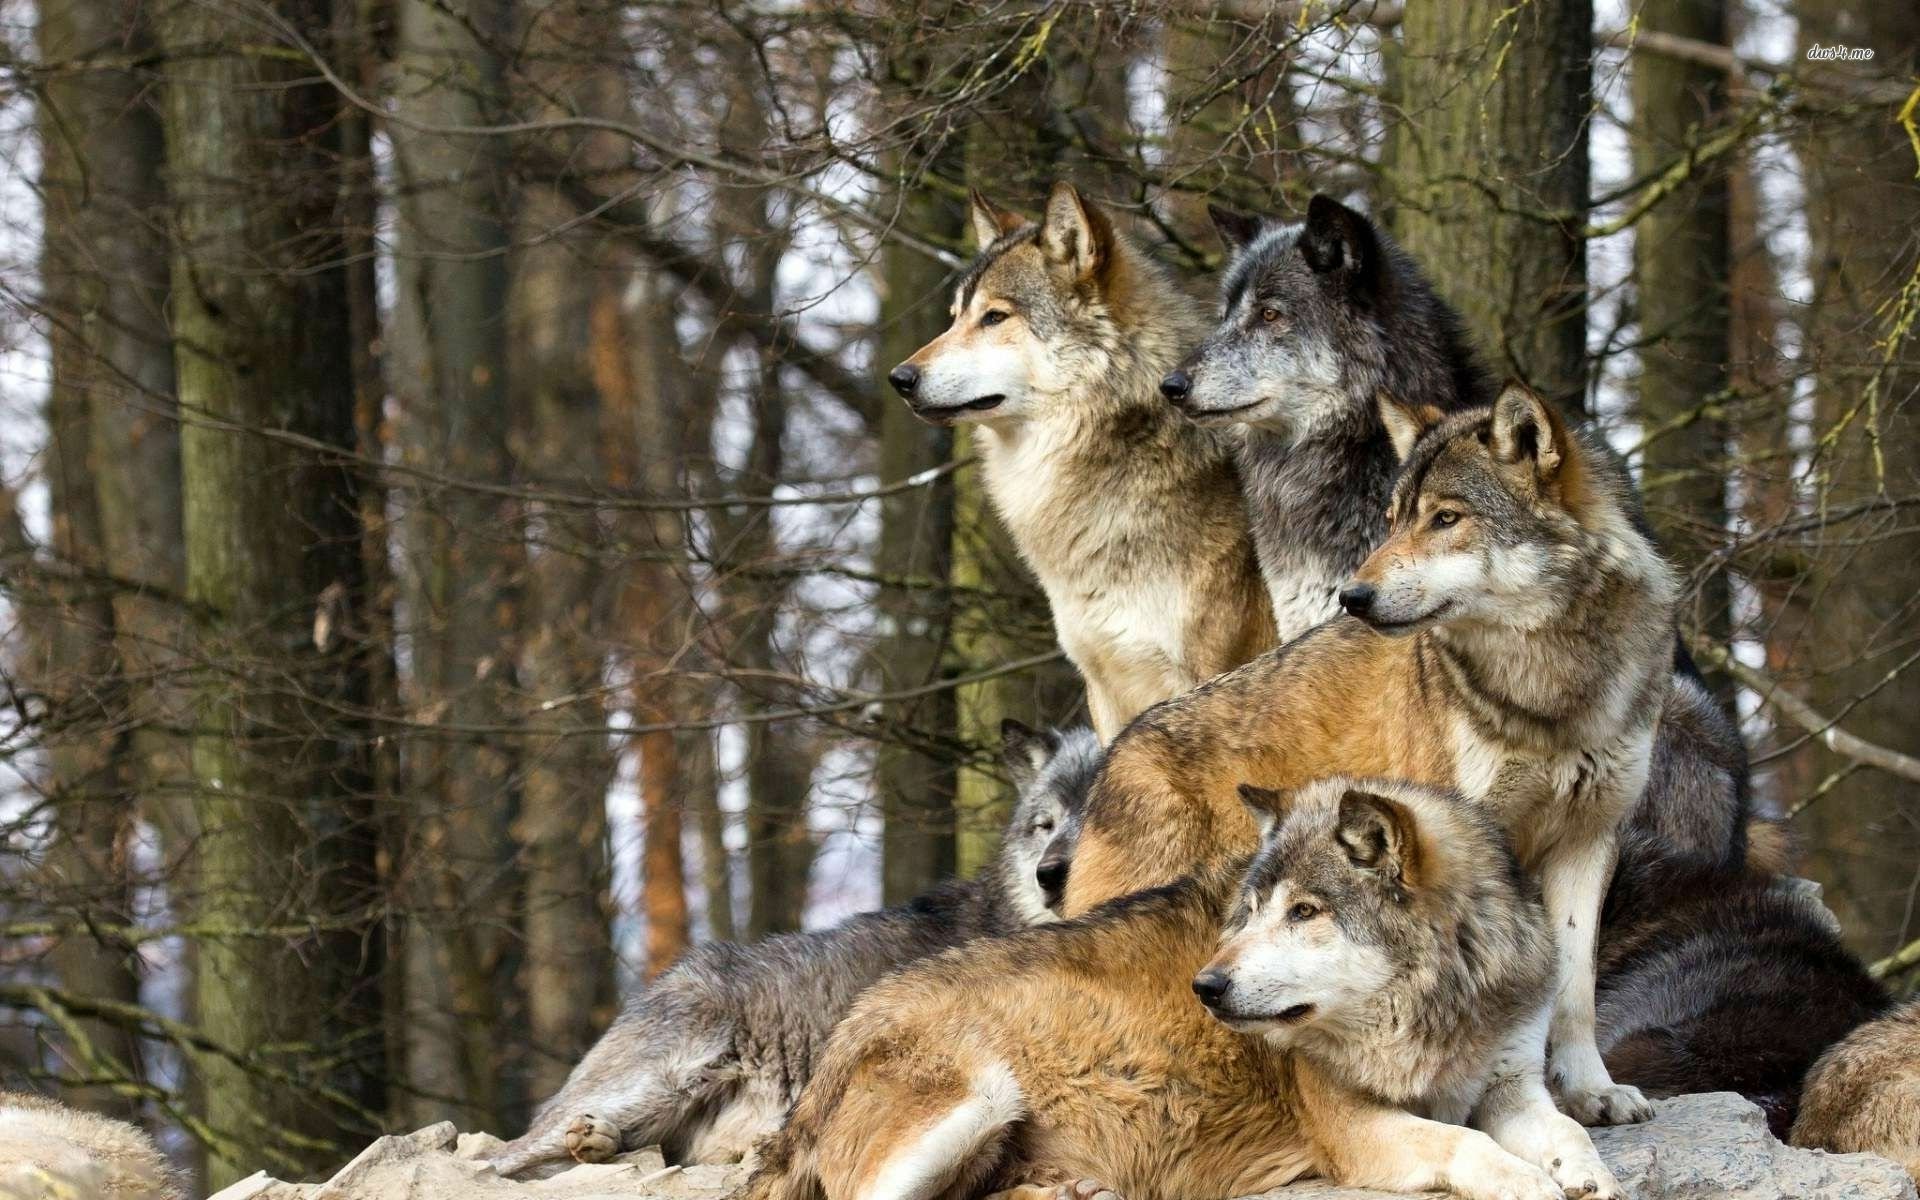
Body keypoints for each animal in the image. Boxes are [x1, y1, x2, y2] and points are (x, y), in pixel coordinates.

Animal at [741, 777, 1619, 1200]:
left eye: (1305, 912)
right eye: (1250, 912)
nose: (1208, 985)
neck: (1435, 1008)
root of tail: (834, 1046)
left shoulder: (1509, 1084)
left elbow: (1566, 1133)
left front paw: (1587, 1175)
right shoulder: (1353, 1130)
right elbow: (1463, 1145)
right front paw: (1528, 1183)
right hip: (979, 1097)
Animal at [1061, 386, 1676, 1126]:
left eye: (1445, 519)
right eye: (1392, 521)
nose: (1352, 596)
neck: (1548, 691)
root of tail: (1114, 752)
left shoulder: (1589, 840)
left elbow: (1575, 988)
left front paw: (1590, 1091)